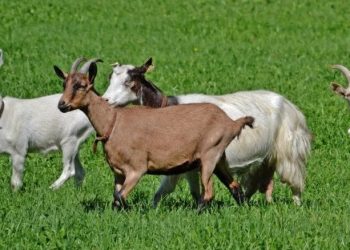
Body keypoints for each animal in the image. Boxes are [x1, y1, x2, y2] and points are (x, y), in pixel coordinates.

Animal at [0, 57, 93, 189]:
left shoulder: (19, 151)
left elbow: (15, 182)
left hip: (69, 141)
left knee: (69, 170)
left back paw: (52, 188)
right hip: (75, 144)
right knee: (80, 172)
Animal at [56, 58, 256, 209]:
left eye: (81, 85)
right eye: (64, 84)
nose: (62, 105)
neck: (112, 122)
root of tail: (230, 122)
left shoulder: (136, 169)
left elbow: (120, 197)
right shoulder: (118, 173)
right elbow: (116, 199)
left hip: (209, 154)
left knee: (208, 193)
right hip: (218, 157)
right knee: (235, 187)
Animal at [102, 57, 312, 206]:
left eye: (128, 81)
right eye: (110, 79)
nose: (105, 100)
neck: (168, 107)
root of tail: (292, 107)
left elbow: (164, 190)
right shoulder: (189, 166)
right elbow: (194, 192)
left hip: (289, 152)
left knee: (294, 182)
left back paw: (296, 205)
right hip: (266, 159)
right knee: (265, 183)